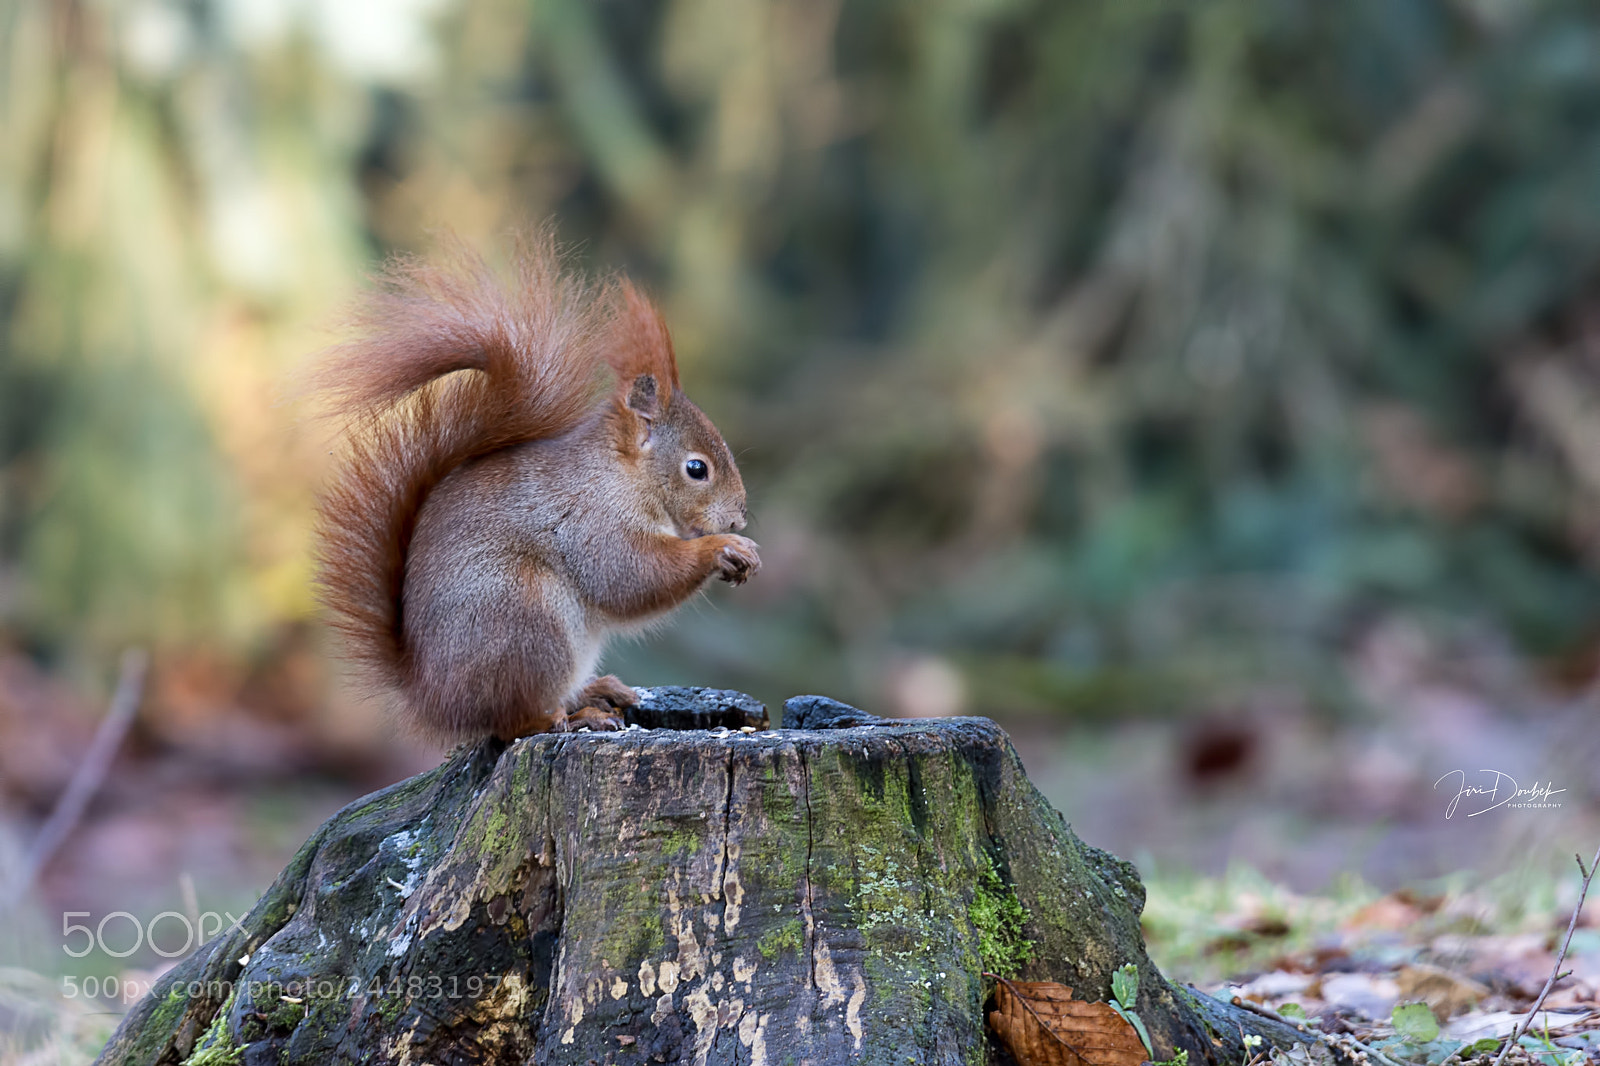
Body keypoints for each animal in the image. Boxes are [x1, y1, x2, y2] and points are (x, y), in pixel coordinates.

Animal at [310, 233, 760, 741]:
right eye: (696, 469)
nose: (737, 518)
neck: (621, 475)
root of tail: (435, 697)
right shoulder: (591, 521)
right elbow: (629, 575)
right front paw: (724, 548)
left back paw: (596, 691)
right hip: (528, 619)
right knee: (514, 723)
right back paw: (573, 716)